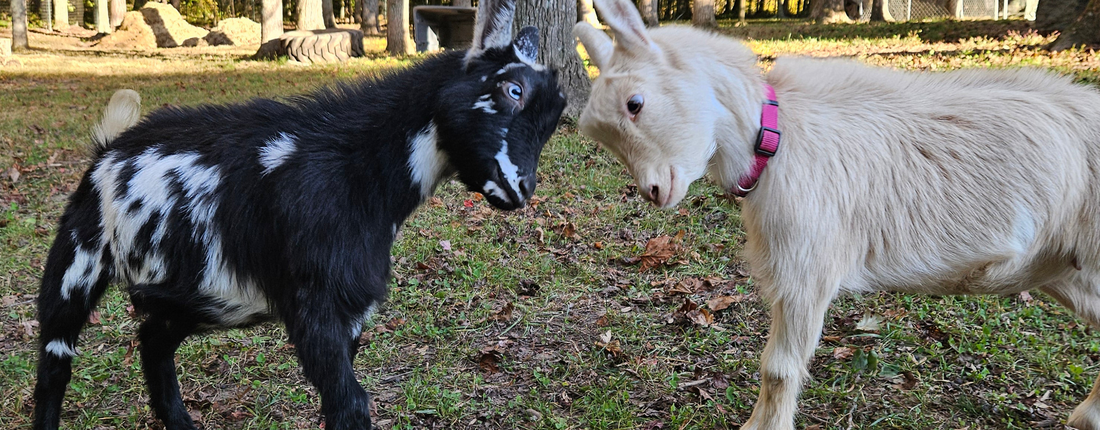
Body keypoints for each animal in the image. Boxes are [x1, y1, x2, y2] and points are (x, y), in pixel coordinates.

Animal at [32, 0, 566, 427]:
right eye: (512, 90)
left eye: (556, 115)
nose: (521, 189)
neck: (357, 168)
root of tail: (107, 148)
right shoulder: (315, 305)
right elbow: (349, 403)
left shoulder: (350, 315)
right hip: (77, 261)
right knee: (55, 360)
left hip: (195, 294)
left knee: (152, 341)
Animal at [573, 1, 1100, 428]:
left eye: (635, 103)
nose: (655, 191)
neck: (775, 134)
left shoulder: (808, 264)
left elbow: (778, 368)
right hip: (1061, 266)